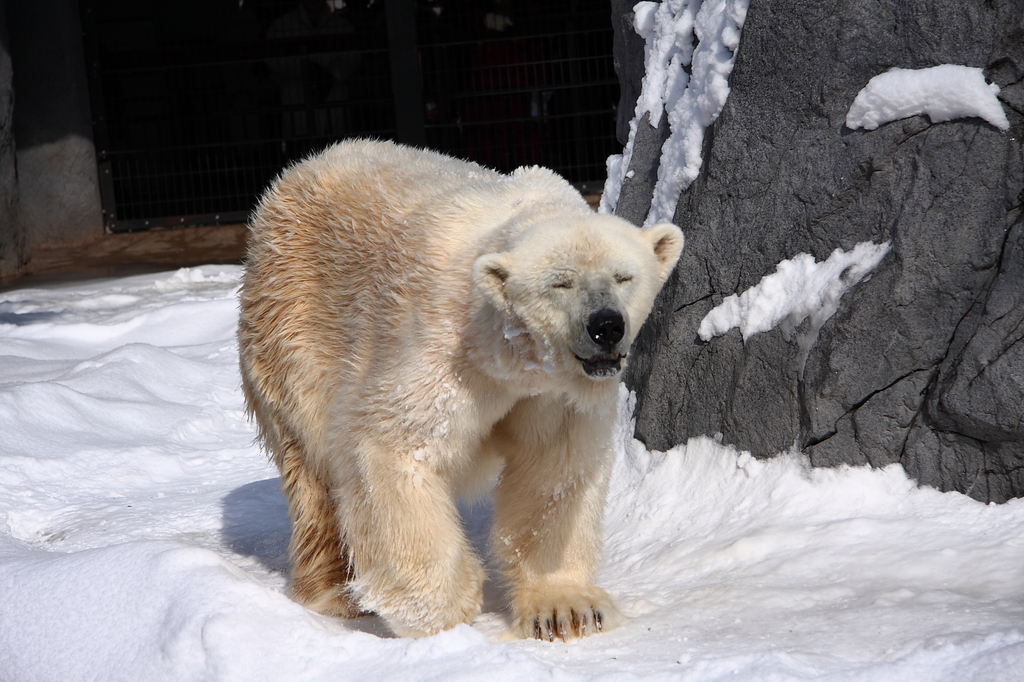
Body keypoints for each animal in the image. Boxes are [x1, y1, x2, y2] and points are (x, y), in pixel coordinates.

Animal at [238, 138, 684, 638]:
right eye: (560, 283)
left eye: (625, 276)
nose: (606, 326)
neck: (511, 356)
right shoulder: (443, 348)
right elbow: (394, 445)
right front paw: (448, 606)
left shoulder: (553, 392)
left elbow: (554, 469)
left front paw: (566, 609)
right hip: (296, 324)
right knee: (312, 464)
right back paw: (336, 592)